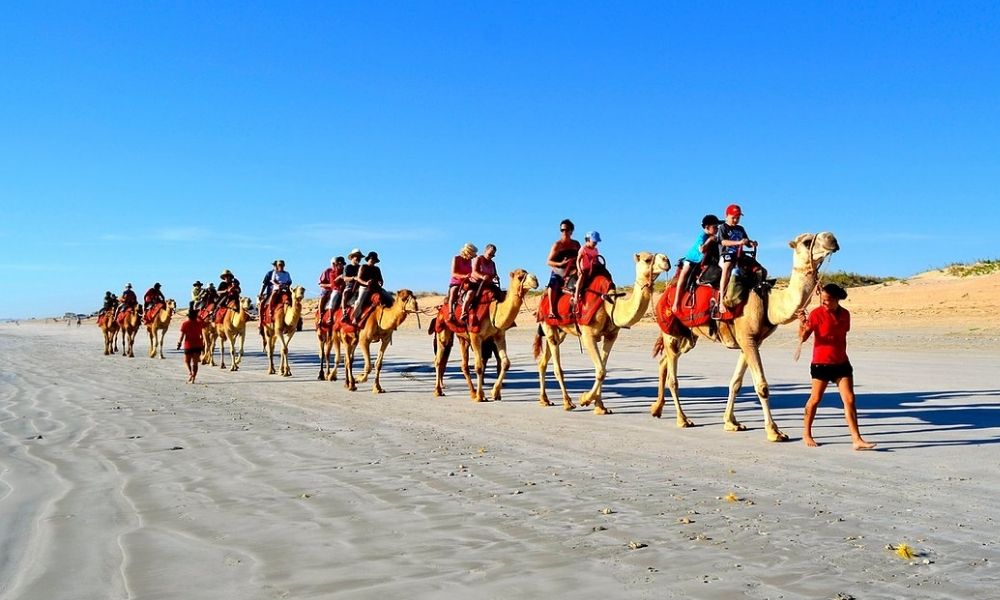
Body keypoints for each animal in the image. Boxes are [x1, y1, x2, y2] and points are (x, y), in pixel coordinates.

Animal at [430, 270, 540, 400]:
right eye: (520, 276)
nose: (535, 280)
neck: (492, 310)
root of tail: (441, 308)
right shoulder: (475, 335)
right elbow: (479, 366)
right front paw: (480, 396)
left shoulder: (499, 335)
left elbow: (505, 363)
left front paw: (495, 393)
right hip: (442, 329)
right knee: (438, 359)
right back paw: (438, 391)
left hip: (462, 337)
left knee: (463, 364)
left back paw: (472, 392)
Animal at [536, 252, 668, 412]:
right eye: (647, 259)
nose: (666, 260)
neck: (609, 303)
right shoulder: (588, 335)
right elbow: (600, 370)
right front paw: (585, 399)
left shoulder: (611, 336)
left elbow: (603, 369)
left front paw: (600, 406)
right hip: (547, 324)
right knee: (557, 366)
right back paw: (567, 402)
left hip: (560, 330)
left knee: (543, 360)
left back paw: (544, 400)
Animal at [652, 230, 840, 440]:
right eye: (807, 242)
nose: (832, 239)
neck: (768, 300)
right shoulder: (748, 339)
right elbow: (762, 386)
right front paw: (774, 432)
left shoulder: (749, 341)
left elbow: (735, 383)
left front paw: (731, 423)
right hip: (670, 330)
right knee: (673, 377)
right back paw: (682, 419)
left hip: (688, 336)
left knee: (665, 361)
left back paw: (656, 409)